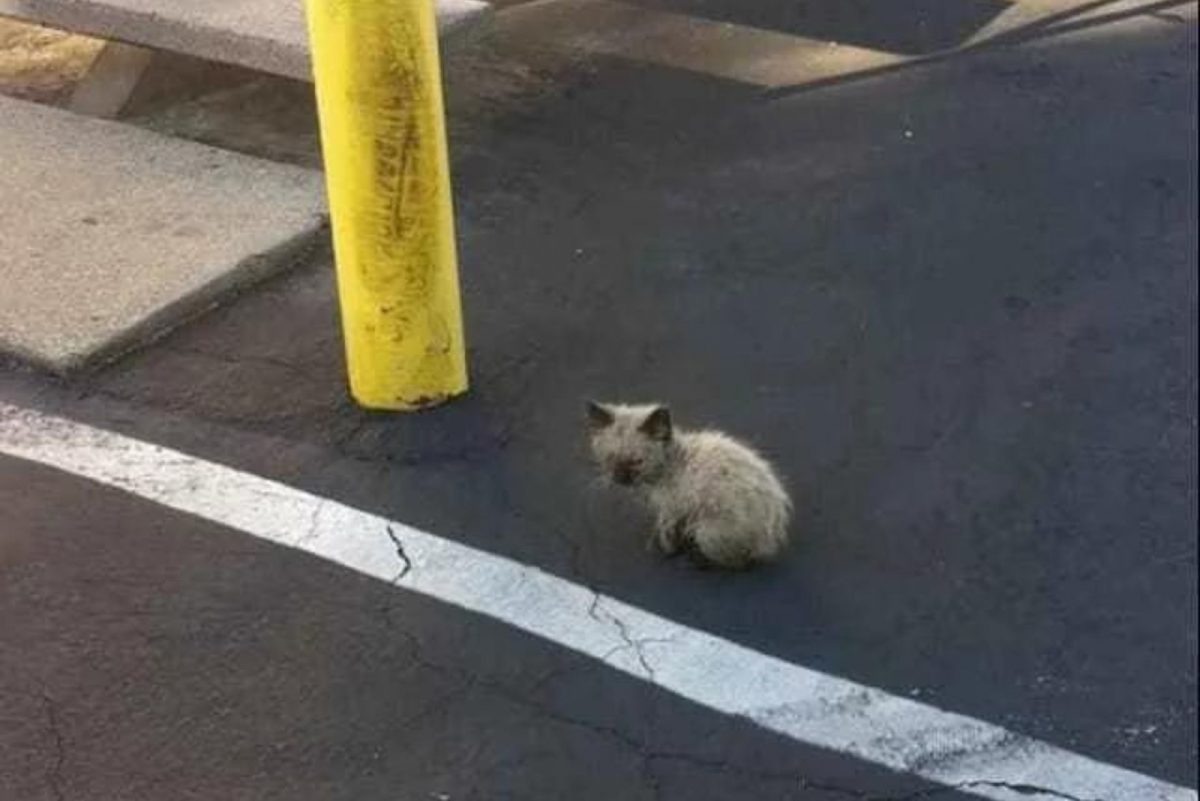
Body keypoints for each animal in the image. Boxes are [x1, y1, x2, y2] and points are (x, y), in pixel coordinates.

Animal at [585, 400, 792, 568]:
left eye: (637, 461)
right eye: (610, 458)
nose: (619, 478)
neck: (673, 462)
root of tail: (770, 541)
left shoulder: (672, 508)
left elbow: (667, 531)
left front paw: (666, 549)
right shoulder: (679, 509)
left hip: (708, 530)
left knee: (736, 561)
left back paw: (695, 559)